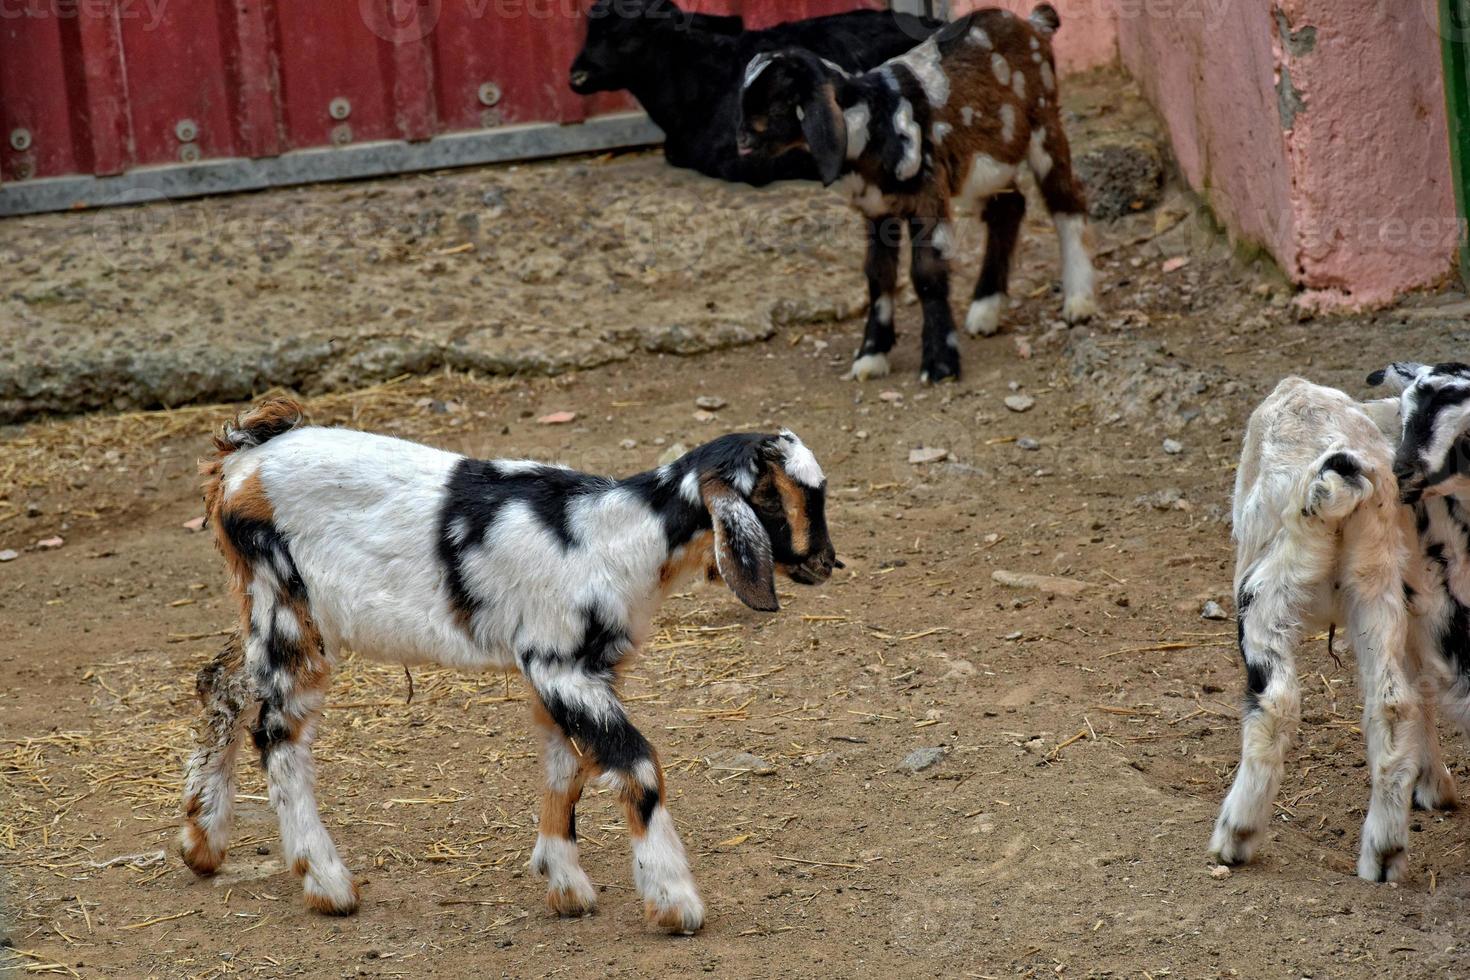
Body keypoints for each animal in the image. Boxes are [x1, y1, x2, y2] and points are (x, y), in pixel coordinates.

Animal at [740, 6, 1099, 382]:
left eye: (776, 105)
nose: (742, 141)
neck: (874, 119)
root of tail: (1034, 25)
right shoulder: (877, 209)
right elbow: (878, 275)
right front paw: (871, 355)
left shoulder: (927, 196)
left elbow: (927, 273)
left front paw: (941, 363)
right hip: (980, 163)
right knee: (1009, 206)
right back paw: (985, 309)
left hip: (1044, 127)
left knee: (1067, 201)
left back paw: (1078, 301)